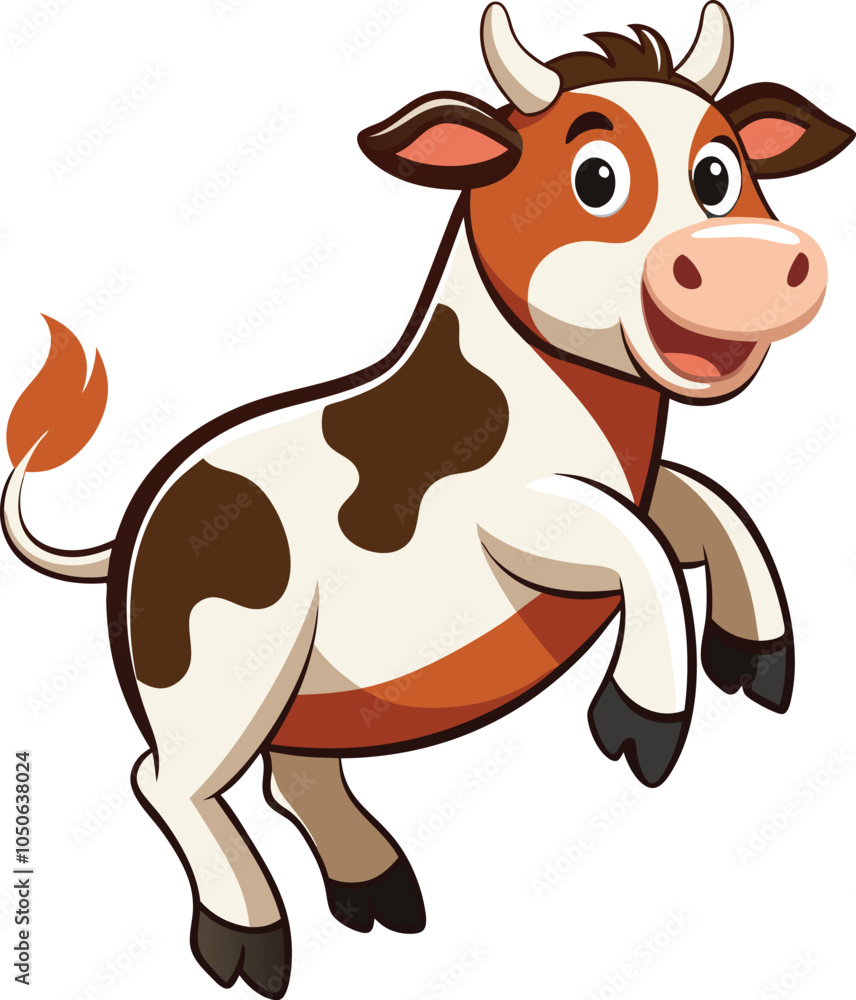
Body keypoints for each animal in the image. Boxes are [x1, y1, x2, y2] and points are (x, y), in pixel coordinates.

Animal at [3, 3, 852, 997]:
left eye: (719, 172)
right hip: (224, 668)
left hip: (303, 688)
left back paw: (381, 897)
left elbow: (709, 505)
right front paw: (639, 732)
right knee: (166, 780)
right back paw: (252, 945)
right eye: (596, 177)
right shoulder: (513, 522)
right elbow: (637, 542)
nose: (748, 258)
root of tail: (140, 520)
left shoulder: (637, 485)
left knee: (293, 777)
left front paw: (759, 667)